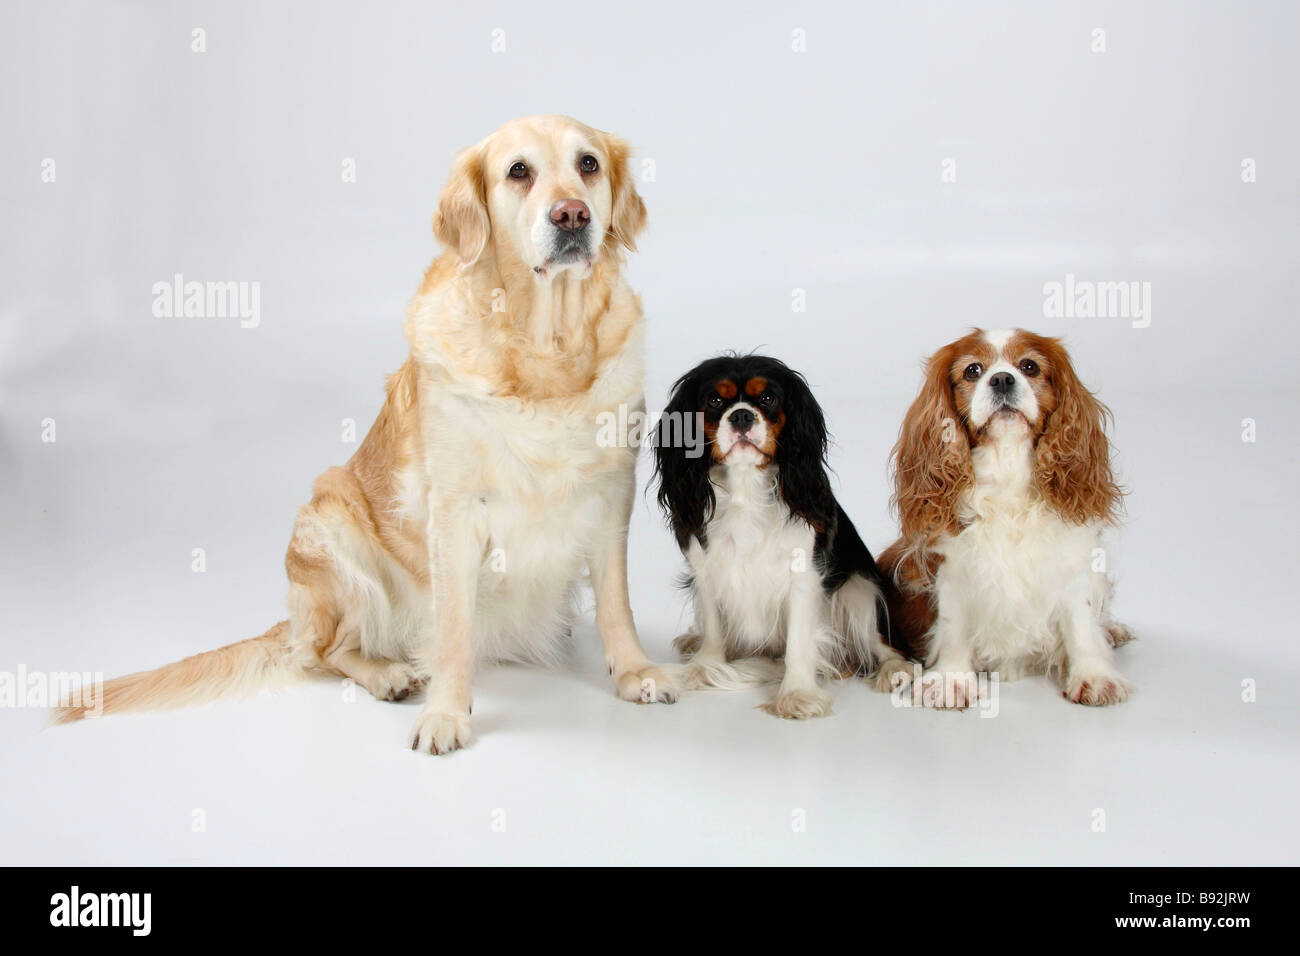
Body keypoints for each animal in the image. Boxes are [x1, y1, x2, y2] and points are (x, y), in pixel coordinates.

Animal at [53, 113, 681, 754]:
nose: (572, 216)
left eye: (588, 164)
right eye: (518, 172)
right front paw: (446, 713)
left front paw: (634, 670)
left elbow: (617, 601)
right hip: (329, 519)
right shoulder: (454, 511)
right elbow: (452, 630)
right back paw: (387, 674)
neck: (544, 350)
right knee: (325, 650)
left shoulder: (611, 493)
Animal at [655, 353, 909, 717]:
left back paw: (895, 670)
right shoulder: (707, 569)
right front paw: (706, 665)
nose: (742, 415)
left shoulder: (804, 575)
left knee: (882, 641)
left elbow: (799, 642)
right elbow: (715, 627)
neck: (746, 487)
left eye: (767, 398)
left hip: (859, 591)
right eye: (715, 401)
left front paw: (797, 692)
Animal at [878, 329, 1133, 712]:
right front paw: (952, 680)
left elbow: (1082, 621)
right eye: (972, 370)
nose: (1001, 379)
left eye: (1029, 366)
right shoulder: (951, 565)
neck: (1008, 469)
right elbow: (953, 623)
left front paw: (1093, 676)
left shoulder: (1072, 560)